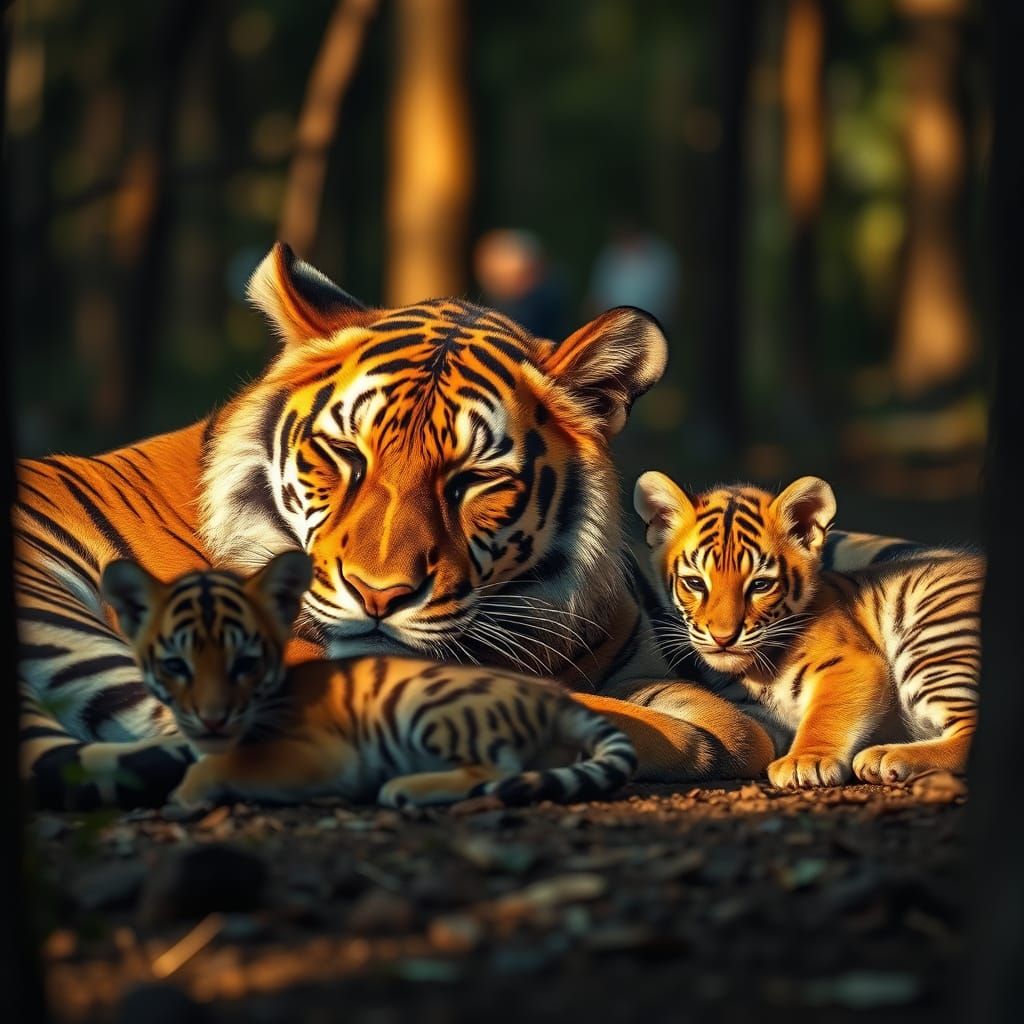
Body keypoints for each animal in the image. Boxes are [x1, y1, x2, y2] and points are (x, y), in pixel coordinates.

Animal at [98, 550, 637, 807]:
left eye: (245, 663)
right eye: (176, 665)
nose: (212, 720)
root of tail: (562, 700)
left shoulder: (322, 755)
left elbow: (224, 765)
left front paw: (185, 793)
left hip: (427, 706)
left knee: (497, 770)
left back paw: (404, 788)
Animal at [633, 470, 982, 788]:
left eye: (760, 585)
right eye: (695, 583)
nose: (723, 638)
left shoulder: (852, 663)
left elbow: (825, 714)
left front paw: (805, 761)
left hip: (932, 635)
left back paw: (884, 757)